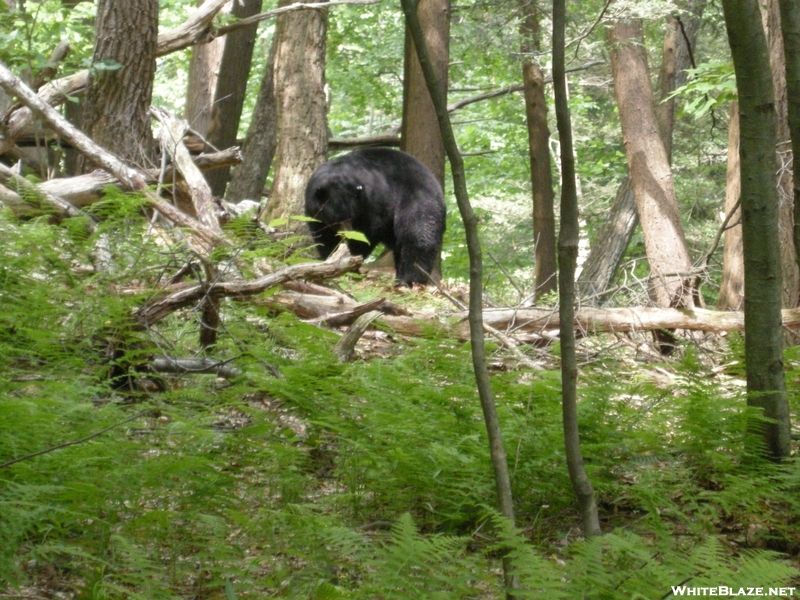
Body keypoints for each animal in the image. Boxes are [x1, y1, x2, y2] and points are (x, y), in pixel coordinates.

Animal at [304, 146, 446, 284]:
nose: (348, 234)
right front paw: (329, 258)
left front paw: (351, 259)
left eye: (351, 216)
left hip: (417, 200)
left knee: (417, 237)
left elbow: (366, 233)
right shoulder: (314, 214)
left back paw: (410, 279)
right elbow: (323, 236)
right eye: (336, 218)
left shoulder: (372, 202)